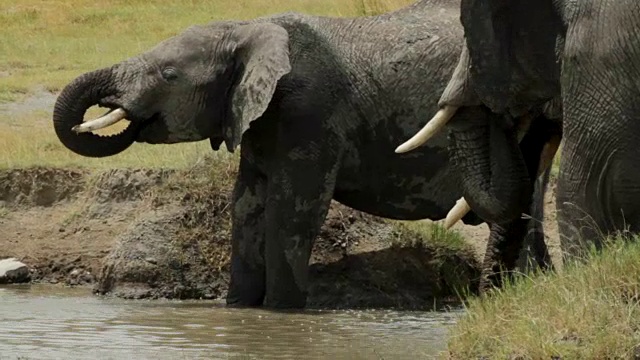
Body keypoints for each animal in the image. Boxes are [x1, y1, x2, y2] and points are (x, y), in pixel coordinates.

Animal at [51, 0, 552, 310]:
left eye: (169, 75)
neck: (249, 29)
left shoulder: (308, 112)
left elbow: (291, 213)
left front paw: (279, 311)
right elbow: (246, 208)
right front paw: (238, 310)